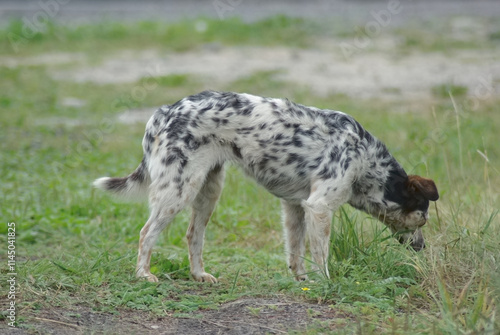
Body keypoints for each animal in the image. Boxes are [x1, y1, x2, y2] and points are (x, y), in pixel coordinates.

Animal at [94, 90, 438, 284]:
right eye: (422, 219)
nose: (422, 247)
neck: (365, 158)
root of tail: (164, 111)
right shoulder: (320, 208)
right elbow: (321, 256)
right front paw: (326, 283)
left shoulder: (296, 207)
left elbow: (296, 252)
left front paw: (301, 280)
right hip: (178, 192)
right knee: (145, 234)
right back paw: (144, 275)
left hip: (208, 191)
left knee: (192, 235)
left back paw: (199, 275)